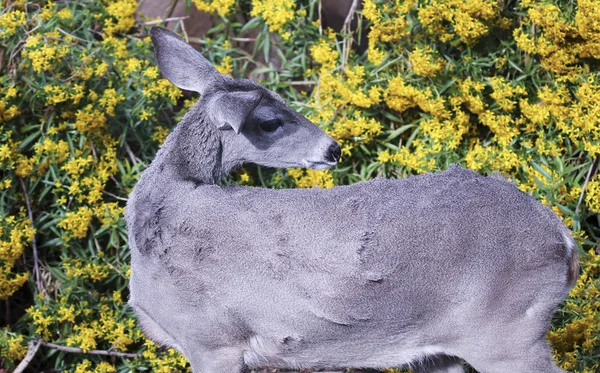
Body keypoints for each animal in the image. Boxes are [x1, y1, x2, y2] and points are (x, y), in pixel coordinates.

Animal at [124, 26, 580, 372]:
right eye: (270, 121)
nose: (334, 149)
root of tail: (563, 238)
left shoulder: (213, 339)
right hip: (445, 349)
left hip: (507, 333)